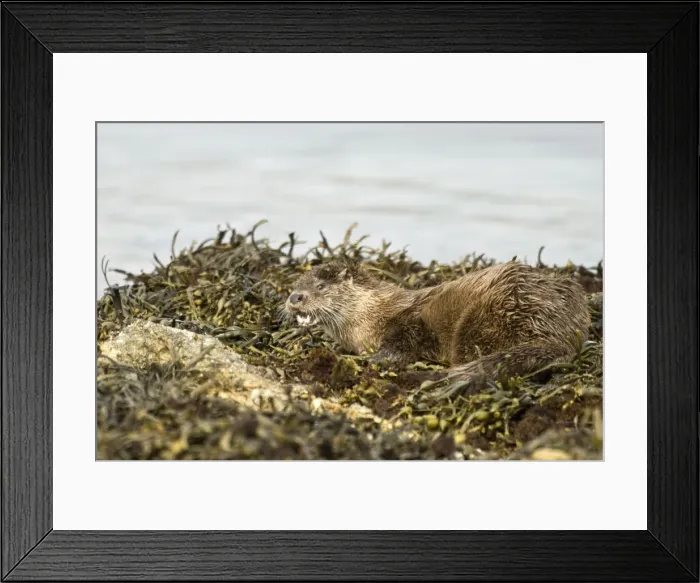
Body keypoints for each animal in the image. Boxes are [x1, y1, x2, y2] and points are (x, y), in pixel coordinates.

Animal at [284, 260, 591, 391]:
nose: (294, 297)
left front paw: (377, 359)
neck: (371, 315)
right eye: (296, 284)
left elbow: (402, 342)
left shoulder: (408, 321)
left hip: (485, 317)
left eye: (320, 286)